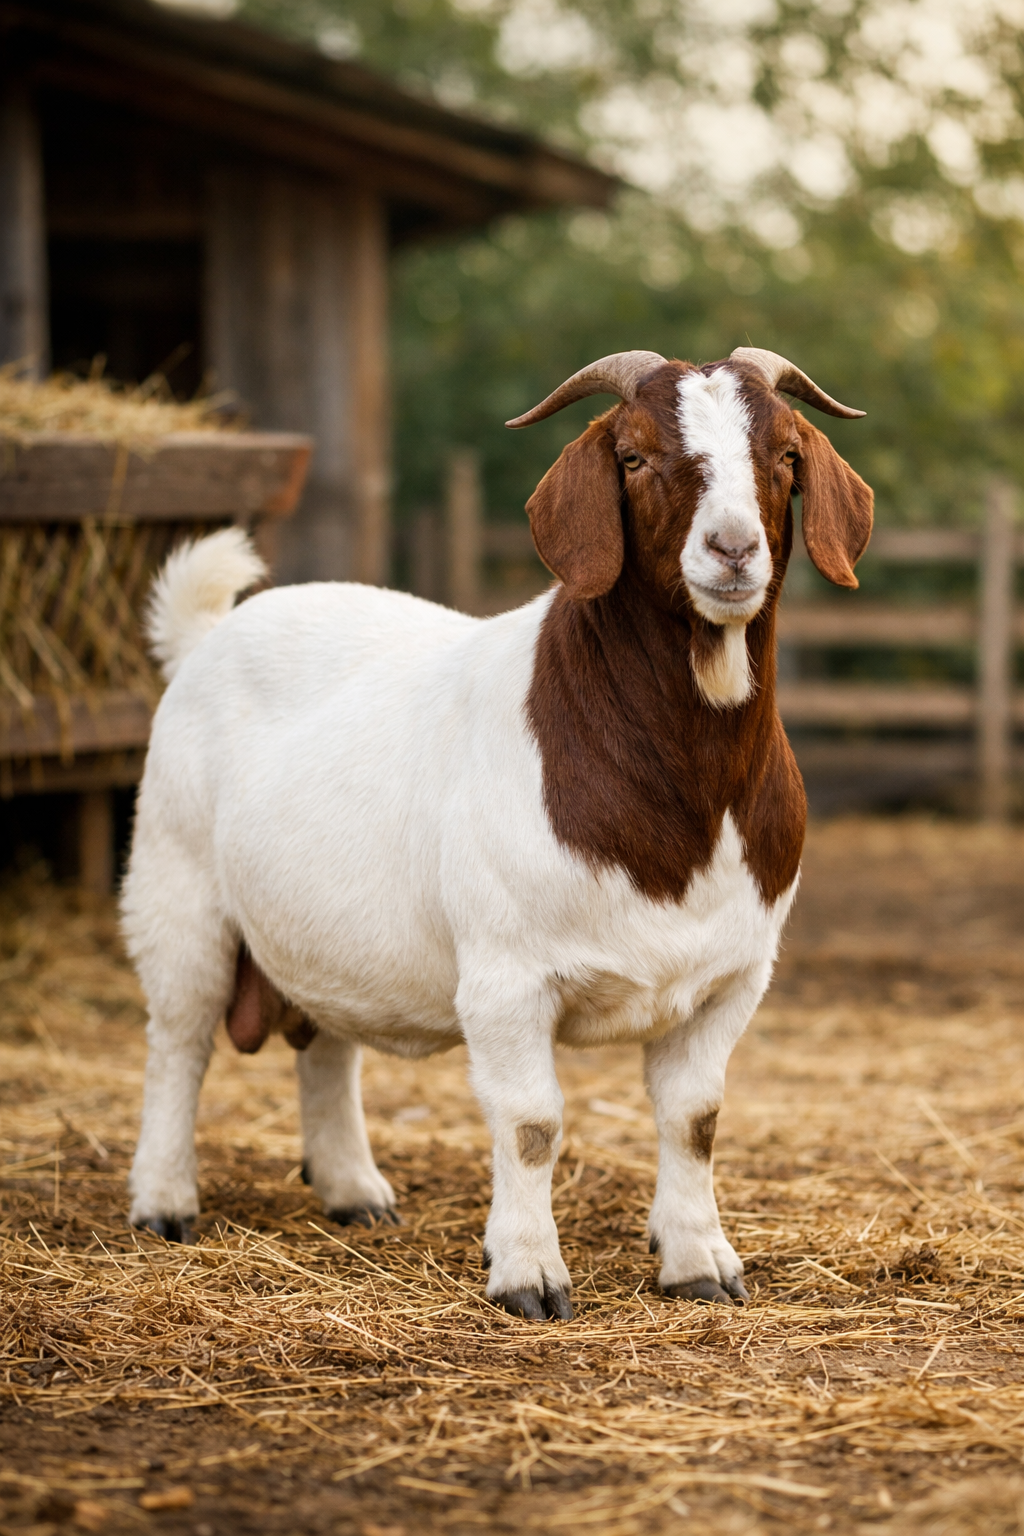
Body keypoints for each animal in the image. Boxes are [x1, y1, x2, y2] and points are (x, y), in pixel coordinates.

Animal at [122, 347, 872, 1318]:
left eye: (784, 454)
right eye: (632, 456)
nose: (734, 548)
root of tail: (208, 634)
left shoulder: (733, 976)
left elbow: (695, 1119)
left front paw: (701, 1263)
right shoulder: (507, 977)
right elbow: (530, 1124)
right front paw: (529, 1276)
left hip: (318, 928)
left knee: (325, 1041)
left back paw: (353, 1190)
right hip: (176, 885)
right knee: (178, 1038)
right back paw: (164, 1203)